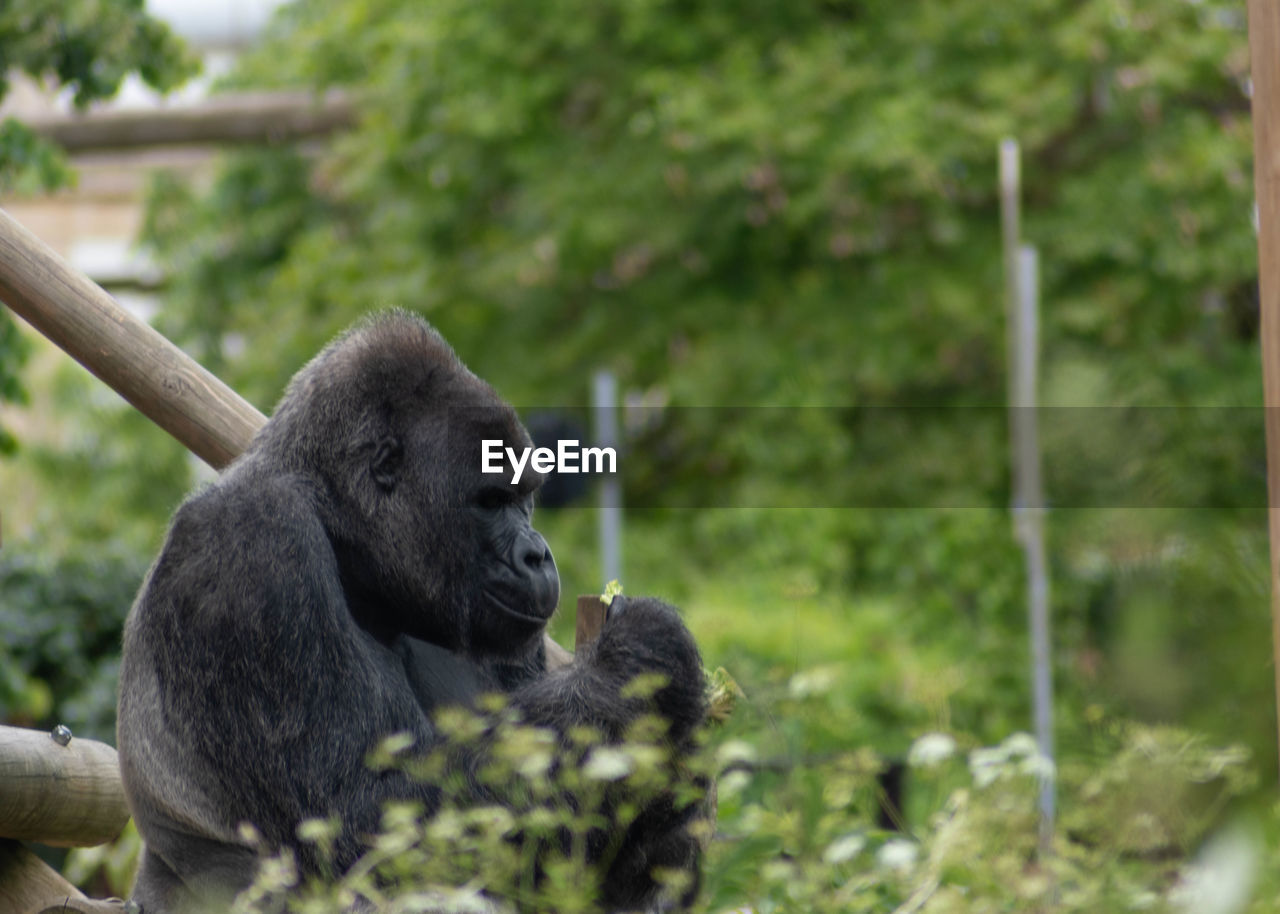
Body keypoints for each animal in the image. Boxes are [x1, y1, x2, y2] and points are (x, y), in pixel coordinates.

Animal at [117, 309, 711, 906]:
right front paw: (633, 669)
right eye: (491, 500)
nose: (537, 554)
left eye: (525, 497)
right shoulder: (252, 541)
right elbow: (360, 816)